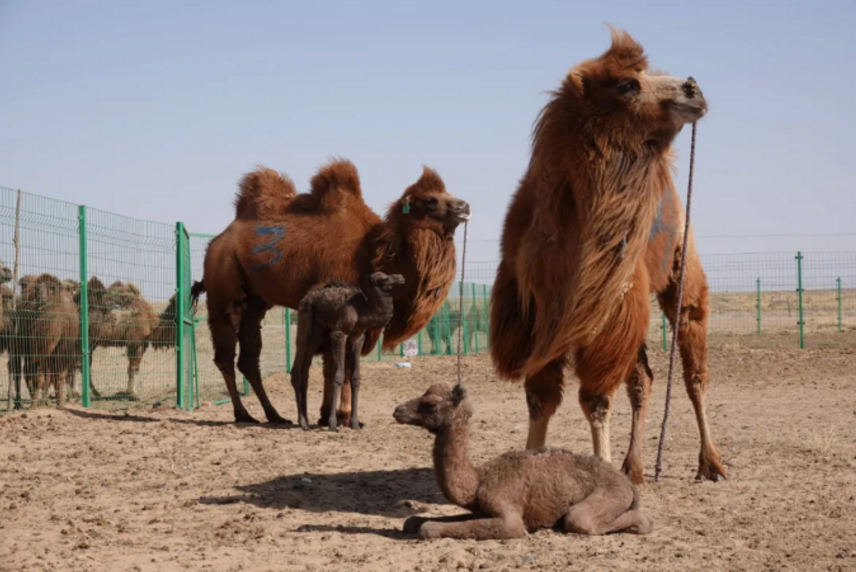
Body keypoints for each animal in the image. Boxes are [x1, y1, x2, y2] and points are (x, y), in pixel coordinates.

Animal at [290, 271, 405, 431]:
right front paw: (332, 423)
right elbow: (338, 375)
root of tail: (305, 298)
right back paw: (303, 422)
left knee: (305, 372)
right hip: (304, 321)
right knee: (297, 366)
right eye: (382, 278)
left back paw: (305, 420)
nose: (401, 277)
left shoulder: (358, 337)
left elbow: (355, 377)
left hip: (316, 335)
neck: (362, 310)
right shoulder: (340, 333)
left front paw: (355, 423)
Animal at [393, 383, 653, 540]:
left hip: (609, 496)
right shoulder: (480, 509)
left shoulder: (509, 515)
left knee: (580, 519)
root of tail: (628, 485)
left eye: (430, 404)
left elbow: (427, 527)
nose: (398, 410)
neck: (479, 481)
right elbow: (413, 522)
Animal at [488, 28, 726, 484]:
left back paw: (712, 463)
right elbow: (540, 398)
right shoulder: (539, 311)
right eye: (628, 85)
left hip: (680, 273)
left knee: (694, 370)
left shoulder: (607, 309)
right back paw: (635, 466)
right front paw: (529, 464)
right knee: (644, 379)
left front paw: (602, 469)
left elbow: (595, 397)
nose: (693, 87)